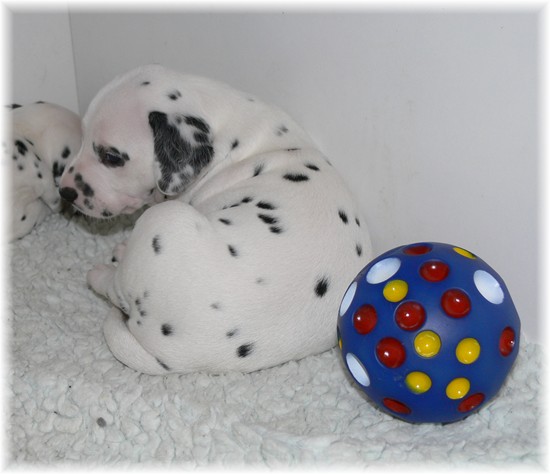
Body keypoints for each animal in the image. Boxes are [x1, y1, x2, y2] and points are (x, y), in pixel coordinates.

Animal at [59, 64, 372, 374]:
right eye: (83, 137)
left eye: (111, 157)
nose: (65, 191)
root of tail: (177, 358)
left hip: (163, 220)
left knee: (115, 287)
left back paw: (102, 272)